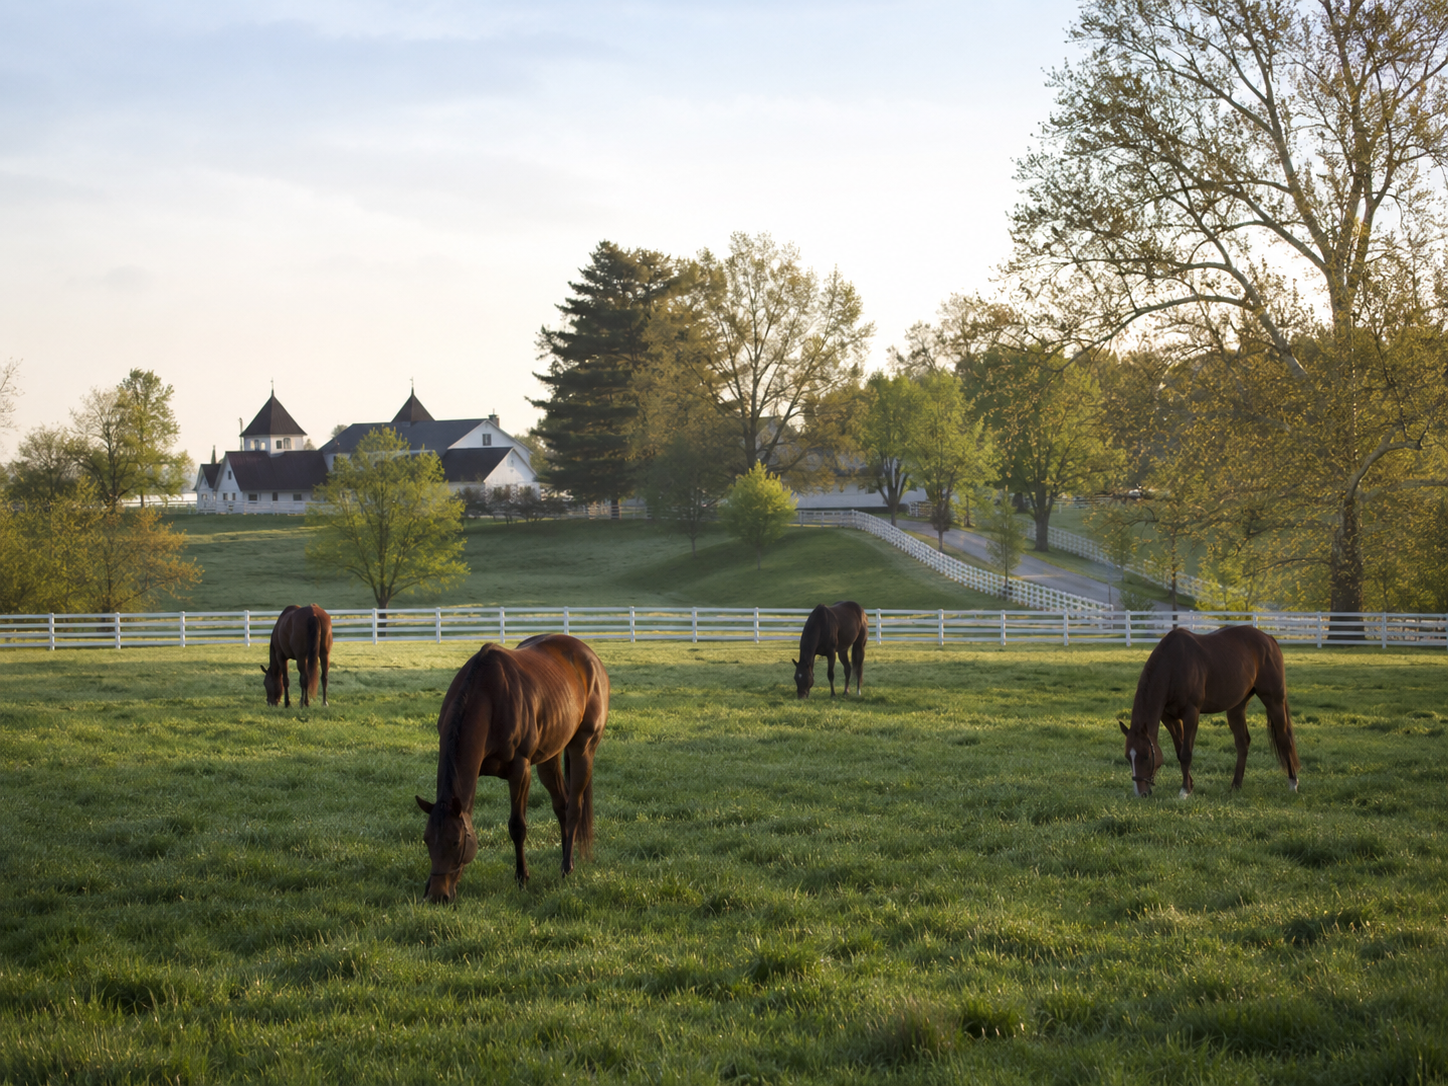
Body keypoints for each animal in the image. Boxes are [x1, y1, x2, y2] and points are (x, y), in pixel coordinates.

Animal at [415, 634, 609, 903]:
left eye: (456, 842)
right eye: (426, 841)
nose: (437, 896)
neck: (486, 696)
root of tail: (590, 657)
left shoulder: (520, 770)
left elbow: (517, 826)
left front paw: (521, 878)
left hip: (583, 748)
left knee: (573, 809)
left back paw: (566, 868)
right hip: (550, 756)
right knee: (561, 804)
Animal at [1120, 624, 1300, 798]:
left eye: (1146, 755)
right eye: (1128, 757)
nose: (1141, 793)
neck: (1173, 664)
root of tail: (1269, 639)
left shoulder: (1191, 714)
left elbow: (1186, 753)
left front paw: (1185, 791)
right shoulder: (1170, 718)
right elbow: (1179, 751)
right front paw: (1190, 785)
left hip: (1274, 700)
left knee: (1284, 738)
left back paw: (1293, 784)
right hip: (1237, 707)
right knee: (1243, 743)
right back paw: (1236, 786)